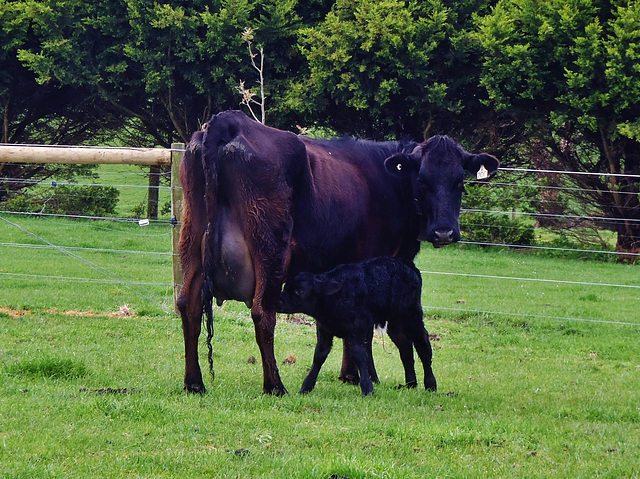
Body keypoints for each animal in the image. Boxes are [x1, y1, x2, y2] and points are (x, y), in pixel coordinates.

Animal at [278, 256, 438, 396]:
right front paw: (306, 386)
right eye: (286, 287)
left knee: (423, 344)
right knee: (405, 348)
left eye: (300, 290)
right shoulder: (324, 330)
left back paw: (430, 384)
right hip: (395, 323)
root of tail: (405, 262)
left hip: (412, 315)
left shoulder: (358, 328)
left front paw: (367, 388)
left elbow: (359, 354)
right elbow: (319, 355)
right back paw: (411, 384)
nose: (278, 301)